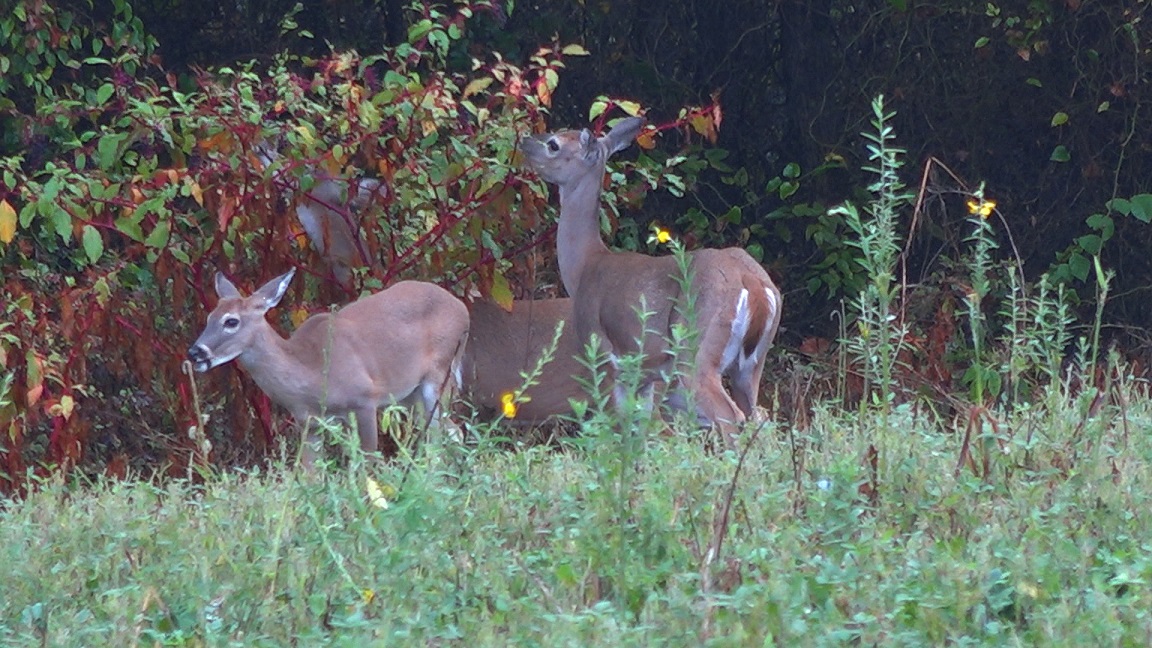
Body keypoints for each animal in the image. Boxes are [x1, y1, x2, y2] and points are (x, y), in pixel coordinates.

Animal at [188, 267, 467, 463]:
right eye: (209, 317)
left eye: (231, 321)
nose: (195, 352)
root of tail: (463, 308)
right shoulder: (309, 424)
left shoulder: (365, 400)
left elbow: (370, 465)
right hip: (411, 395)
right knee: (448, 432)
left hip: (441, 375)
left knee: (445, 435)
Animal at [523, 115, 783, 447]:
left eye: (554, 144)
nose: (524, 141)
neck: (585, 267)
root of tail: (753, 283)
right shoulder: (643, 376)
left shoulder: (603, 355)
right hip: (750, 366)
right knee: (759, 417)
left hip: (697, 351)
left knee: (730, 417)